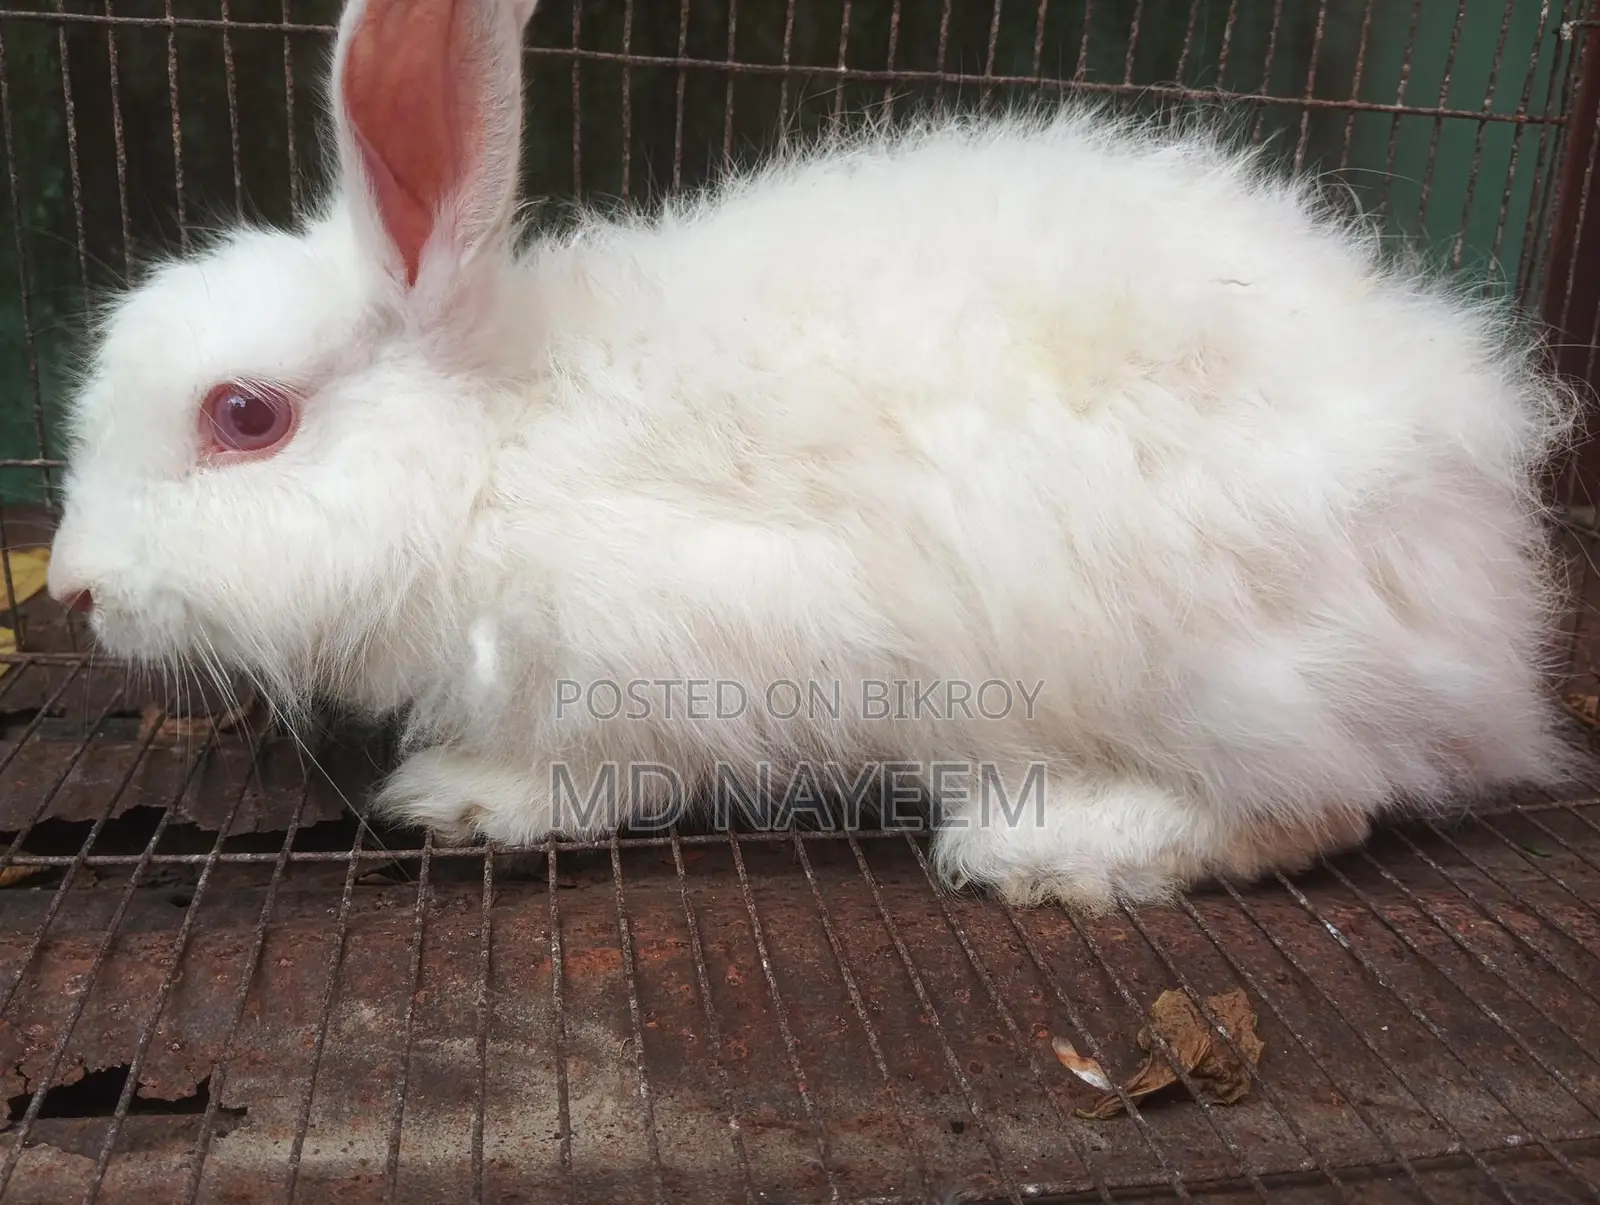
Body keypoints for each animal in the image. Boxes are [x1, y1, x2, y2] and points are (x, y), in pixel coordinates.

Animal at [45, 0, 1582, 910]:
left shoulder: (674, 651)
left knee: (1318, 806)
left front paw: (465, 799)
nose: (69, 587)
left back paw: (1051, 848)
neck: (495, 447)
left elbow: (603, 770)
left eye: (245, 418)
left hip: (1195, 655)